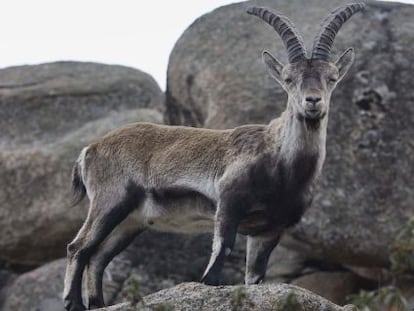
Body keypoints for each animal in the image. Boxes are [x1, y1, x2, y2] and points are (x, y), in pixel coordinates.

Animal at [63, 3, 364, 311]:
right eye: (289, 79)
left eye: (331, 78)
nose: (312, 101)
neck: (281, 164)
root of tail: (89, 150)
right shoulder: (229, 204)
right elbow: (221, 254)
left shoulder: (268, 229)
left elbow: (255, 277)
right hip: (110, 200)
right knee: (78, 247)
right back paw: (73, 302)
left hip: (130, 221)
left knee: (98, 256)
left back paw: (97, 303)